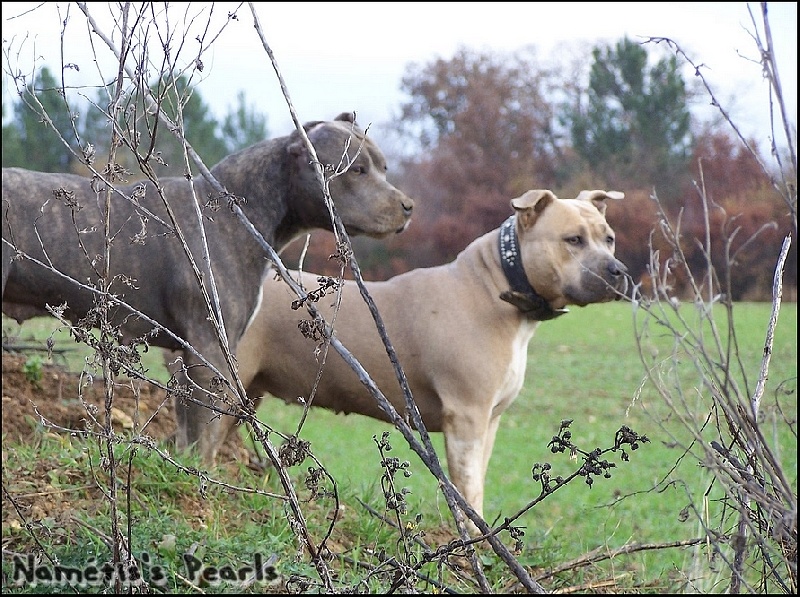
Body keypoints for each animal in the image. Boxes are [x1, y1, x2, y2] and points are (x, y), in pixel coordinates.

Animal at [6, 113, 416, 466]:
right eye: (356, 170)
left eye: (383, 168)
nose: (408, 205)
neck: (234, 215)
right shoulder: (209, 350)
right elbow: (205, 429)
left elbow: (189, 427)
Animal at [231, 189, 624, 524]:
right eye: (573, 240)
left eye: (609, 239)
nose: (617, 271)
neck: (497, 288)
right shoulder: (466, 416)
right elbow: (469, 488)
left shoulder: (490, 421)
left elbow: (479, 477)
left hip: (251, 389)